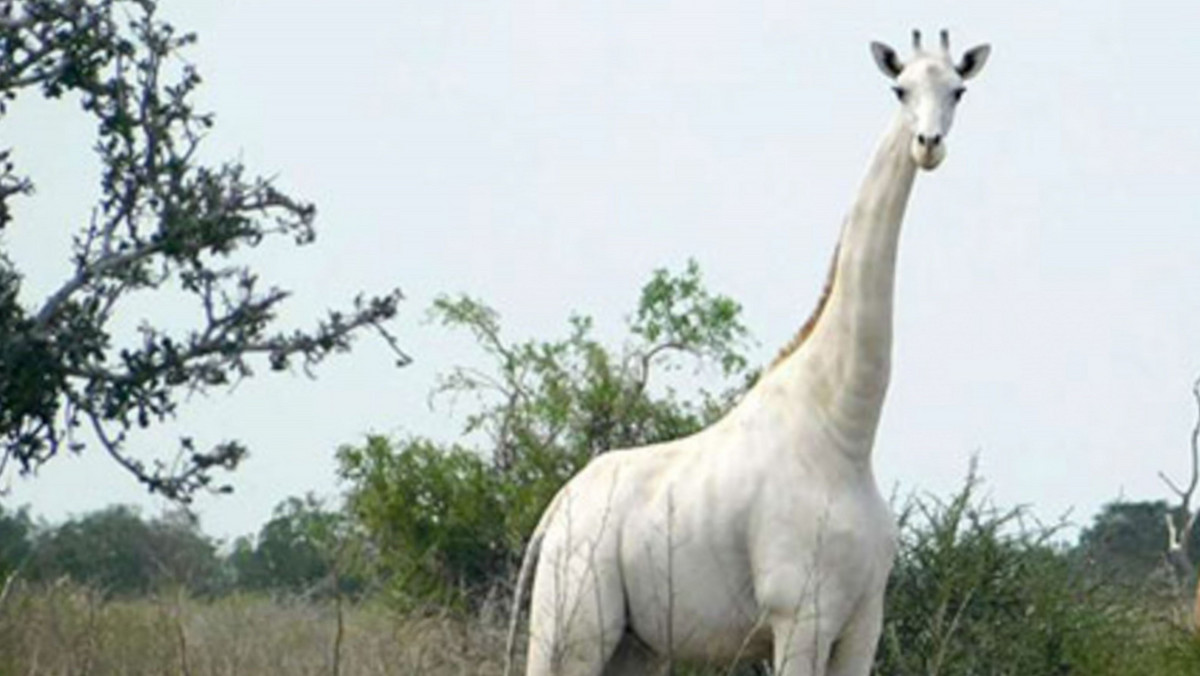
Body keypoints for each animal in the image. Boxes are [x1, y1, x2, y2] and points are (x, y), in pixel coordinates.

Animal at [501, 29, 988, 672]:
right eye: (899, 88)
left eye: (958, 89)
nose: (928, 145)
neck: (845, 434)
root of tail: (553, 513)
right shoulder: (799, 615)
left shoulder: (863, 623)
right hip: (573, 624)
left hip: (636, 643)